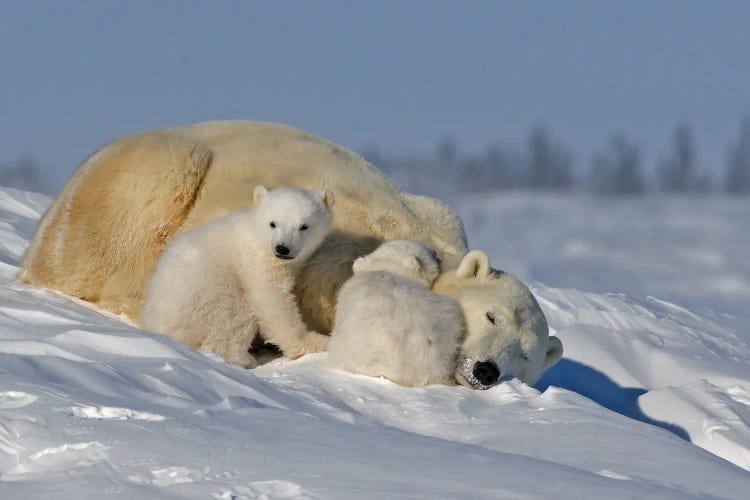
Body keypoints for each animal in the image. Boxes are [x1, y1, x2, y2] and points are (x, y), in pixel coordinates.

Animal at [143, 186, 334, 366]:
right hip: (204, 300)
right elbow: (272, 299)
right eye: (273, 223)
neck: (259, 234)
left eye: (304, 226)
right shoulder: (256, 260)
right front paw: (316, 342)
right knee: (235, 316)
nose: (282, 248)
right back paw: (244, 359)